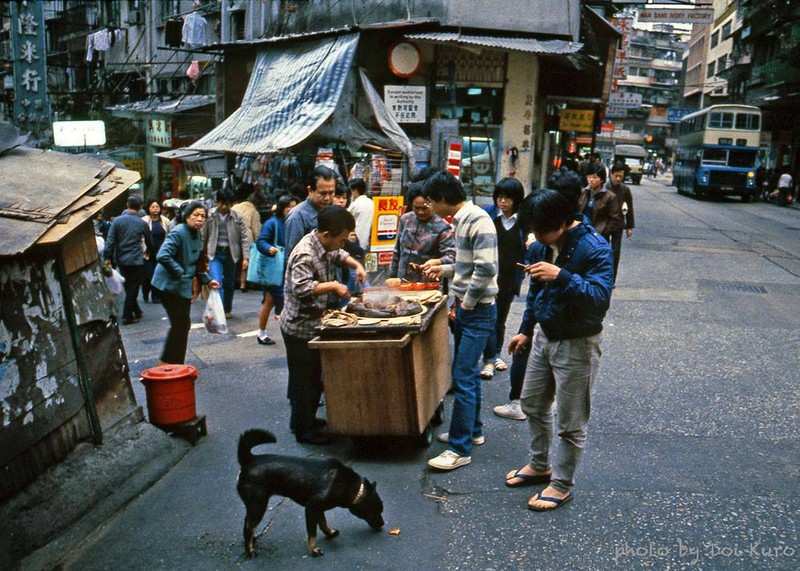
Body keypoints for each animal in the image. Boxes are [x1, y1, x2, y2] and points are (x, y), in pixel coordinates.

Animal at [234, 428, 384, 560]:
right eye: (377, 509)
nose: (382, 524)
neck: (351, 486)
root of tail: (249, 459)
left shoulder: (319, 509)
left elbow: (323, 523)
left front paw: (329, 533)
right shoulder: (311, 508)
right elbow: (312, 533)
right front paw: (314, 550)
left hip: (254, 506)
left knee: (248, 523)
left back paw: (253, 540)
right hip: (258, 505)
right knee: (248, 527)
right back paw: (249, 550)